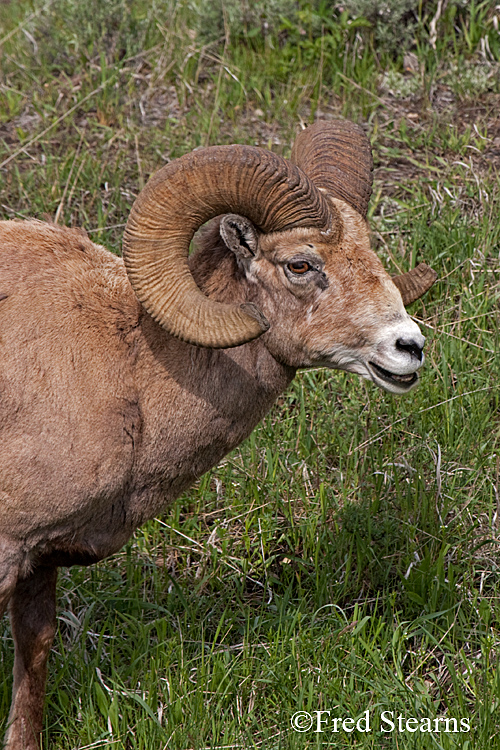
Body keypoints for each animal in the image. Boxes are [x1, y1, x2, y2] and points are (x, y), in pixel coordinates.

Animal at [0, 120, 434, 748]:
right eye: (300, 265)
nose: (410, 348)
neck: (127, 366)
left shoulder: (40, 561)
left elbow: (34, 655)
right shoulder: (10, 548)